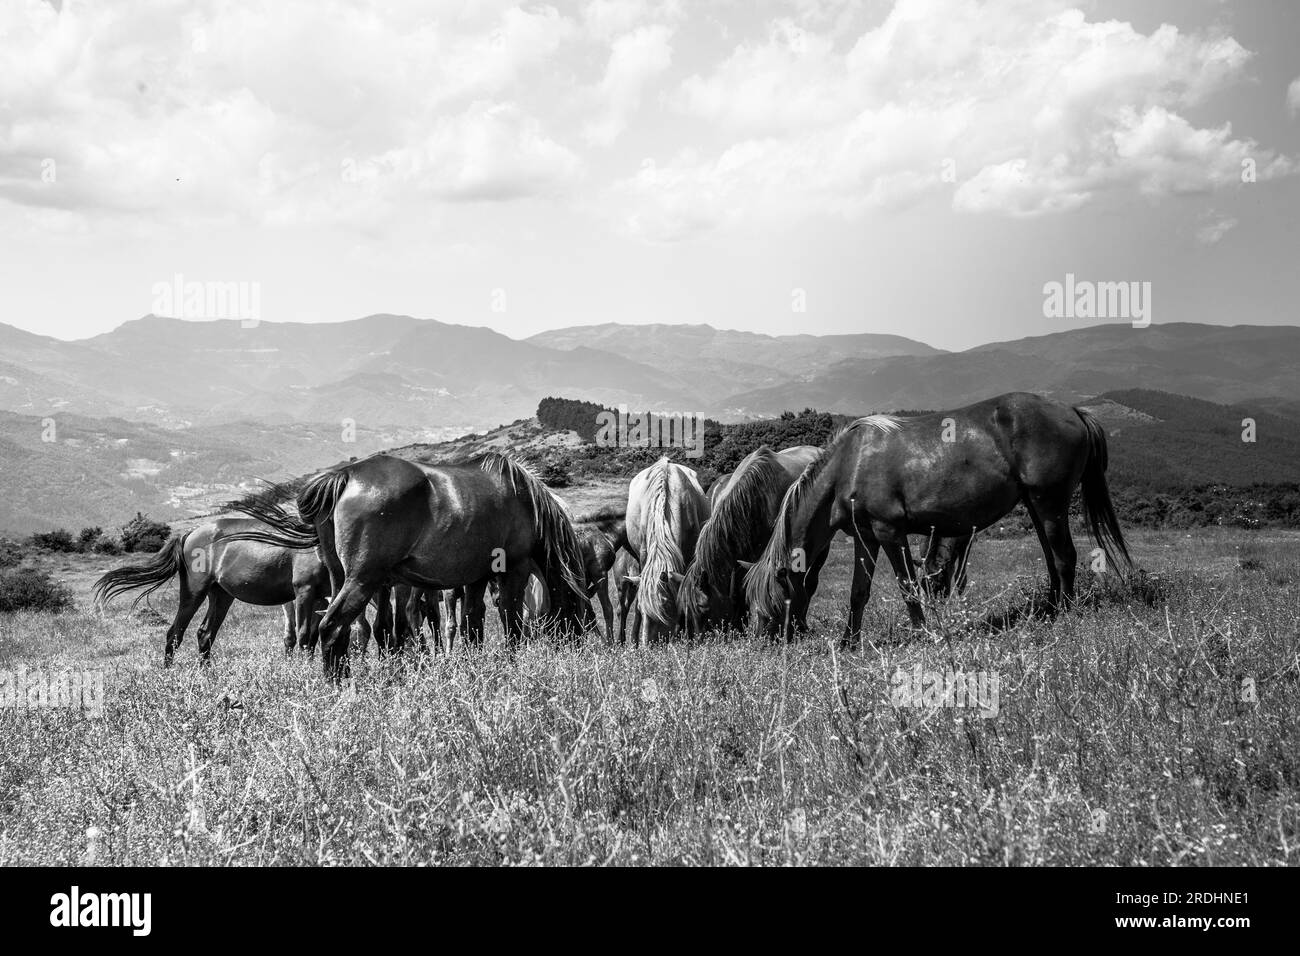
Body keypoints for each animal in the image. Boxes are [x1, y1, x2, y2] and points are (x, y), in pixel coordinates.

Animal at [92, 515, 330, 665]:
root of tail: (188, 534)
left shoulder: (320, 599)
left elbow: (315, 635)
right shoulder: (303, 592)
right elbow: (304, 635)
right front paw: (302, 672)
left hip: (221, 595)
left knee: (205, 634)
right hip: (194, 592)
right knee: (175, 633)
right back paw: (168, 676)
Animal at [231, 455, 587, 681]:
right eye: (582, 612)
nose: (578, 652)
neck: (525, 503)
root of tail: (343, 477)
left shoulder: (476, 579)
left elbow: (473, 625)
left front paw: (475, 666)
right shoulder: (513, 571)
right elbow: (511, 623)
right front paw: (511, 666)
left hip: (339, 578)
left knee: (338, 630)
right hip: (362, 581)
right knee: (331, 627)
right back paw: (340, 689)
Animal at [743, 392, 1128, 647]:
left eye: (773, 597)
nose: (762, 640)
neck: (850, 464)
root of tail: (1072, 410)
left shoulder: (889, 531)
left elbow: (907, 587)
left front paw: (922, 634)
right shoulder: (866, 537)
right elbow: (858, 592)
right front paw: (848, 642)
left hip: (1050, 503)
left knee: (1065, 558)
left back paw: (1063, 615)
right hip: (1036, 506)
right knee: (1052, 559)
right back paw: (1047, 611)